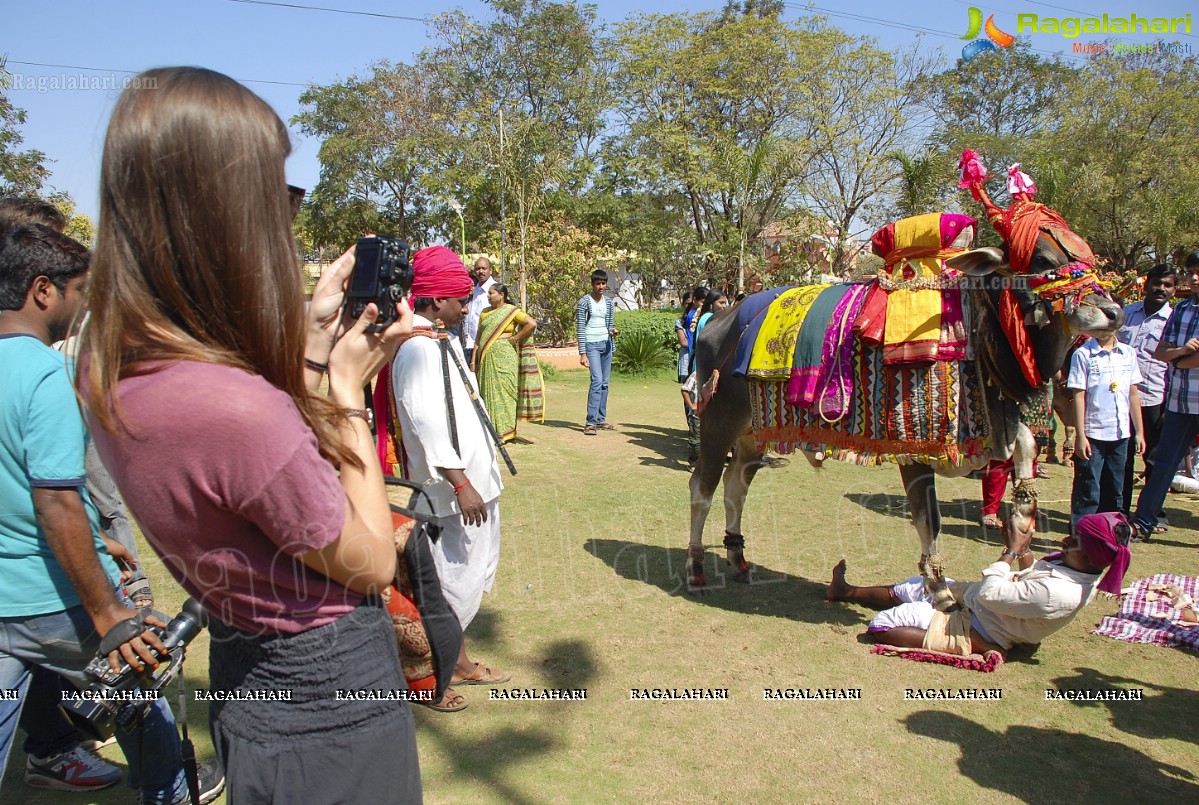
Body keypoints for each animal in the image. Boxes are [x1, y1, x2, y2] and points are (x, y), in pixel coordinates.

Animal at [685, 151, 1122, 607]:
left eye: (1086, 254)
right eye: (1042, 260)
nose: (1112, 312)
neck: (975, 330)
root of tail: (723, 318)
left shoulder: (996, 422)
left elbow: (1027, 452)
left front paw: (1019, 530)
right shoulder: (915, 447)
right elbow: (928, 518)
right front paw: (939, 589)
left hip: (754, 432)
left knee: (735, 486)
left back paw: (737, 557)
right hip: (718, 421)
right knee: (702, 486)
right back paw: (696, 567)